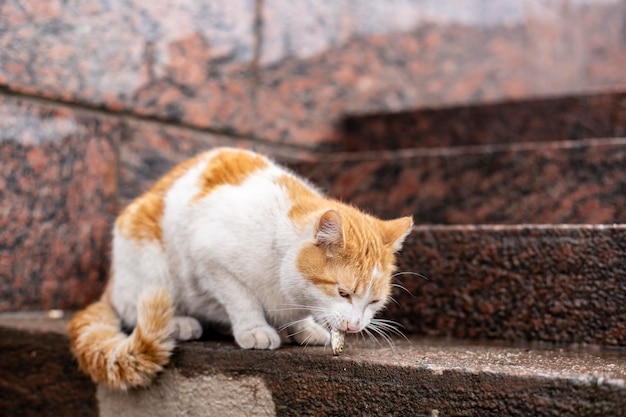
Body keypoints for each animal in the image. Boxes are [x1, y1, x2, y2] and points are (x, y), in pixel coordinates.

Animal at [68, 147, 412, 390]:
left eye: (374, 302)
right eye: (343, 293)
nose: (354, 327)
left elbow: (299, 315)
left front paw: (304, 328)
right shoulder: (210, 260)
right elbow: (242, 300)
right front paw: (255, 329)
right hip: (150, 261)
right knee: (135, 307)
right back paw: (180, 323)